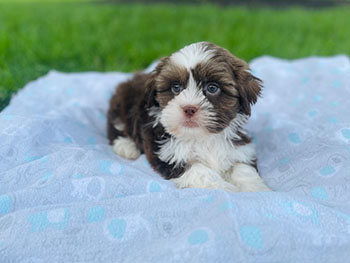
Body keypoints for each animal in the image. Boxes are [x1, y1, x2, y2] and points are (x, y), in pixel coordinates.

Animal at [106, 42, 270, 193]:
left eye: (212, 88)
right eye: (176, 87)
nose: (189, 109)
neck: (202, 138)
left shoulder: (240, 149)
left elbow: (243, 168)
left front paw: (257, 189)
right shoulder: (169, 154)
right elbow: (199, 171)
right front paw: (225, 188)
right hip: (122, 106)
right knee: (116, 126)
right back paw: (126, 146)